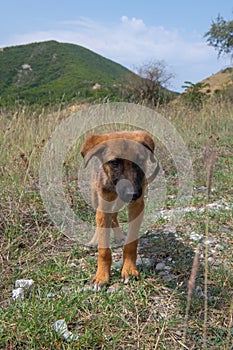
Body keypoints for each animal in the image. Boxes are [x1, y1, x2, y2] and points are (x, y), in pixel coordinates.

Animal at [81, 130, 159, 288]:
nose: (133, 193)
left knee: (114, 217)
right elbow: (104, 249)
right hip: (96, 198)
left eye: (141, 160)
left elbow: (131, 243)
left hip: (120, 202)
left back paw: (119, 235)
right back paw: (94, 240)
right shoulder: (104, 206)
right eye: (114, 163)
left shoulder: (137, 206)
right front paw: (102, 276)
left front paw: (129, 269)